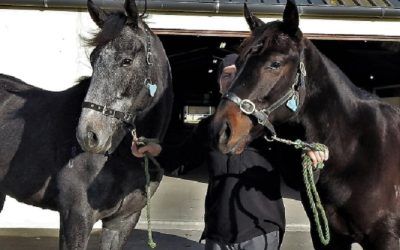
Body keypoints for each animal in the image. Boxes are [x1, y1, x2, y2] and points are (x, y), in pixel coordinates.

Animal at [0, 0, 171, 249]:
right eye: (93, 60)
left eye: (127, 60)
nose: (89, 135)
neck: (121, 158)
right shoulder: (76, 216)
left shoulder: (122, 221)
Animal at [211, 0, 400, 249]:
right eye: (239, 62)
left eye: (275, 63)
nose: (221, 131)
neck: (358, 150)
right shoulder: (329, 236)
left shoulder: (387, 239)